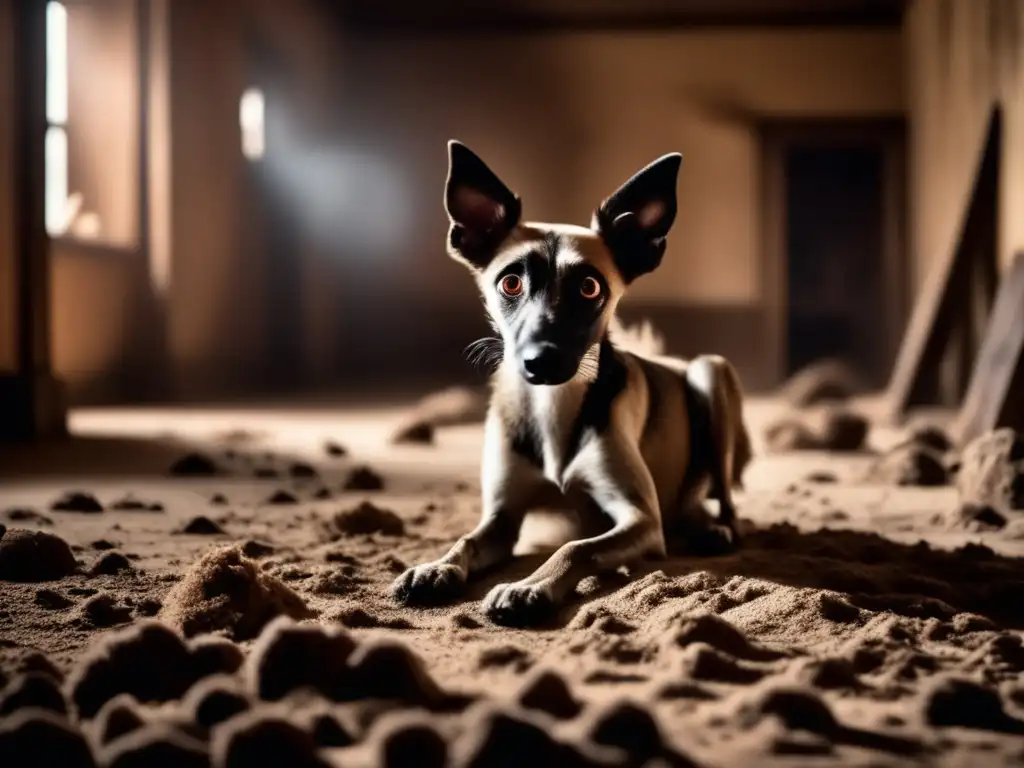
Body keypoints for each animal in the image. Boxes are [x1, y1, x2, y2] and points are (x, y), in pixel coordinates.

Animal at [391, 141, 753, 626]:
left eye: (589, 287)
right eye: (510, 282)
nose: (541, 361)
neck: (552, 406)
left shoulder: (641, 519)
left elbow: (576, 546)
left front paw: (528, 587)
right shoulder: (501, 517)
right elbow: (467, 539)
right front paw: (436, 567)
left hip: (709, 373)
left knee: (726, 504)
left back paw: (716, 530)